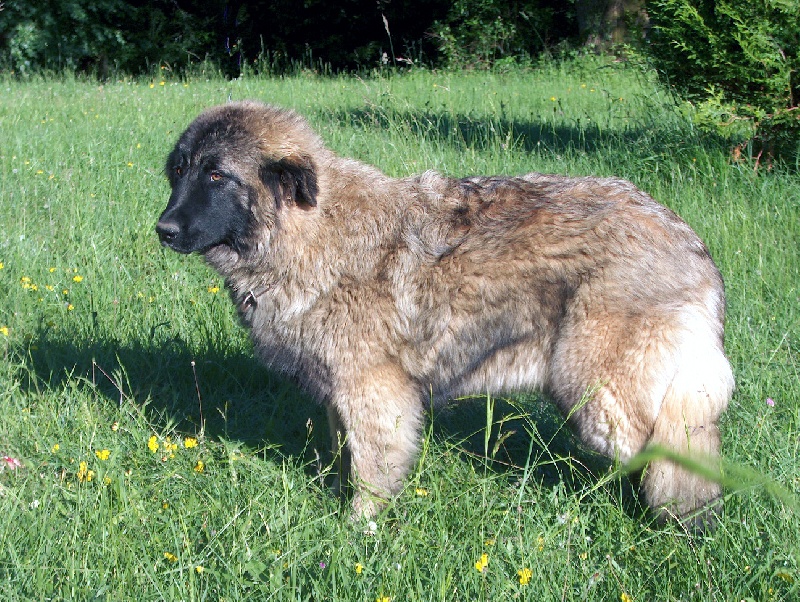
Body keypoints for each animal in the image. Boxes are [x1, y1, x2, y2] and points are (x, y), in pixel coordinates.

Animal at [155, 101, 732, 524]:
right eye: (179, 171)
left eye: (217, 176)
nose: (164, 229)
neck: (308, 230)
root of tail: (688, 239)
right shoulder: (342, 390)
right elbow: (346, 457)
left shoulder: (372, 390)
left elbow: (373, 467)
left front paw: (359, 528)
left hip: (598, 391)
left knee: (668, 458)